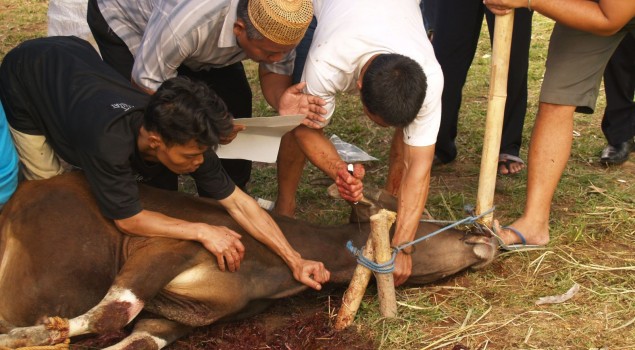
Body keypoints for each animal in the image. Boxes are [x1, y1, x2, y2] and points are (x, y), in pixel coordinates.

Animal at [0, 173, 496, 350]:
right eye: (421, 219)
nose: (486, 234)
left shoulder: (179, 317)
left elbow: (137, 338)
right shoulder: (167, 249)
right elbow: (112, 312)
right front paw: (29, 336)